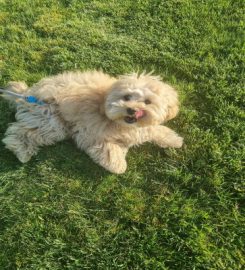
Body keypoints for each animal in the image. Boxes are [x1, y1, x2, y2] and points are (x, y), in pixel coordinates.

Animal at [1, 70, 182, 174]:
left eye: (147, 102)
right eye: (126, 97)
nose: (131, 109)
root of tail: (27, 93)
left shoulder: (143, 128)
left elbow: (155, 130)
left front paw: (175, 140)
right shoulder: (91, 134)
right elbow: (108, 151)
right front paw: (118, 165)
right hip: (51, 120)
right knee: (19, 131)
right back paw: (22, 152)